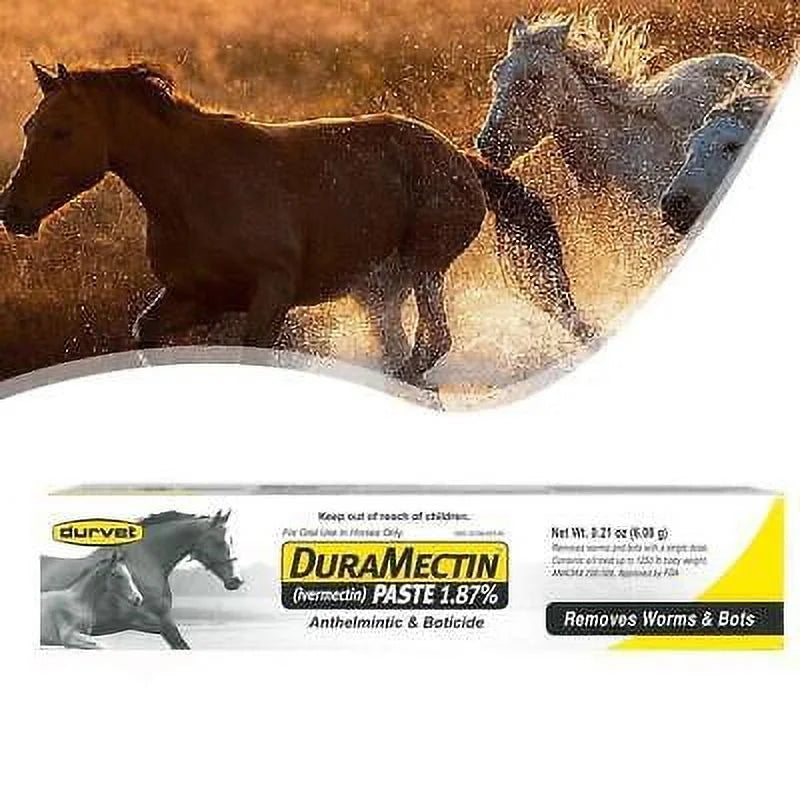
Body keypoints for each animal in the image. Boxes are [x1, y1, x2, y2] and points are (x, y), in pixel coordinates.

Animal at [0, 63, 594, 391]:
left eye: (62, 130)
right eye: (31, 126)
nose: (13, 210)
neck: (193, 187)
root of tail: (460, 160)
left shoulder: (271, 294)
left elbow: (253, 354)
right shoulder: (194, 297)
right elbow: (146, 334)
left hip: (425, 266)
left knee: (432, 344)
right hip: (381, 290)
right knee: (405, 349)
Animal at [40, 509, 241, 649]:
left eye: (231, 540)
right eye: (220, 542)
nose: (236, 580)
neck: (144, 561)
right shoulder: (155, 622)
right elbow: (182, 645)